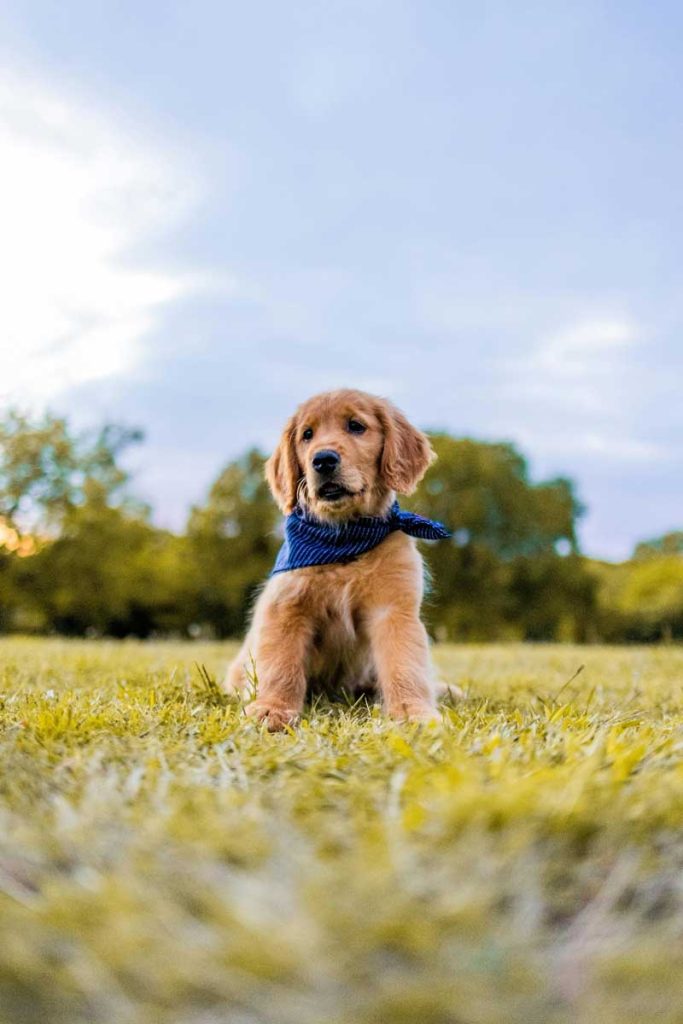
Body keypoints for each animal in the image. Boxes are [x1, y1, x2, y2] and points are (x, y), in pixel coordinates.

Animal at [222, 385, 450, 729]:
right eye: (307, 434)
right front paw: (272, 709)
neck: (344, 537)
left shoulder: (393, 609)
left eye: (356, 426)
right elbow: (281, 666)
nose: (323, 460)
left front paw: (413, 712)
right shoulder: (286, 606)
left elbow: (404, 665)